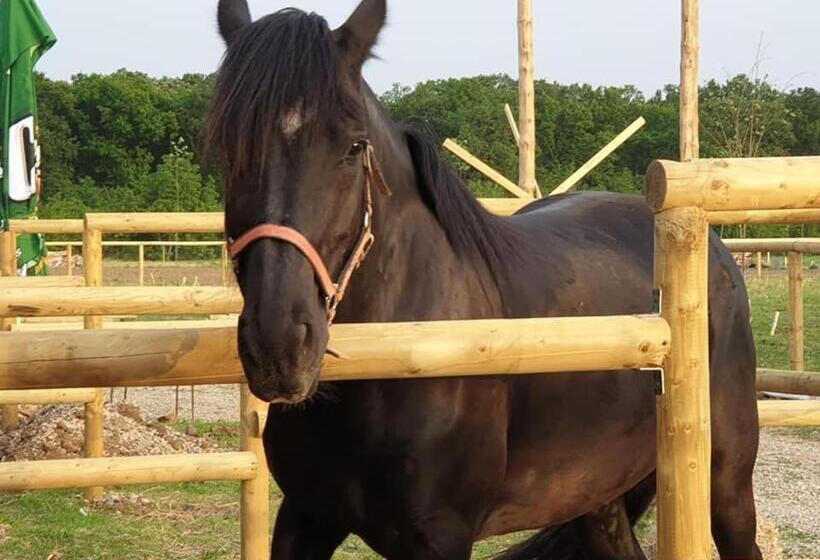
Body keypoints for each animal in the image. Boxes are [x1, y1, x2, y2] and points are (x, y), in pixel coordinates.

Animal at [209, 1, 762, 558]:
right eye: (226, 147)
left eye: (353, 146)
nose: (278, 345)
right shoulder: (306, 516)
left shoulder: (441, 536)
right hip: (596, 497)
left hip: (725, 481)